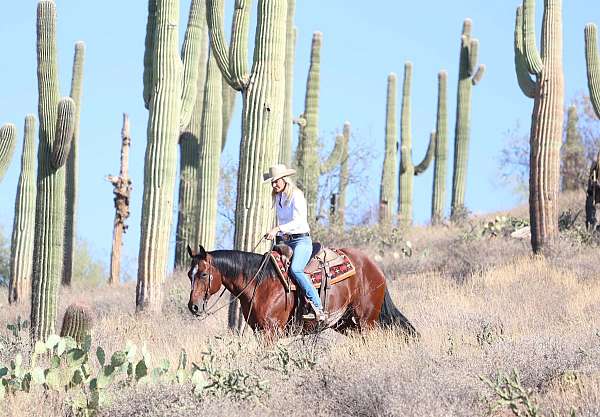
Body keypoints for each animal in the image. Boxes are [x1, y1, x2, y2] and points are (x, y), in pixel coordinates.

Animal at [186, 242, 418, 336]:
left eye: (203, 274)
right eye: (190, 274)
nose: (193, 307)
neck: (259, 281)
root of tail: (375, 267)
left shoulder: (271, 332)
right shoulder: (260, 332)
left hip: (366, 321)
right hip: (345, 323)